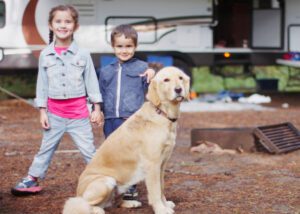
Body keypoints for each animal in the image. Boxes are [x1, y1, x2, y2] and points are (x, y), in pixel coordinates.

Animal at [62, 66, 190, 213]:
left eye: (180, 78)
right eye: (166, 80)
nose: (178, 89)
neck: (162, 113)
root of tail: (78, 191)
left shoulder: (162, 165)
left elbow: (161, 187)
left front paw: (165, 204)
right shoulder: (152, 165)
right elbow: (156, 191)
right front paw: (160, 209)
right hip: (106, 181)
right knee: (81, 203)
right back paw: (96, 210)